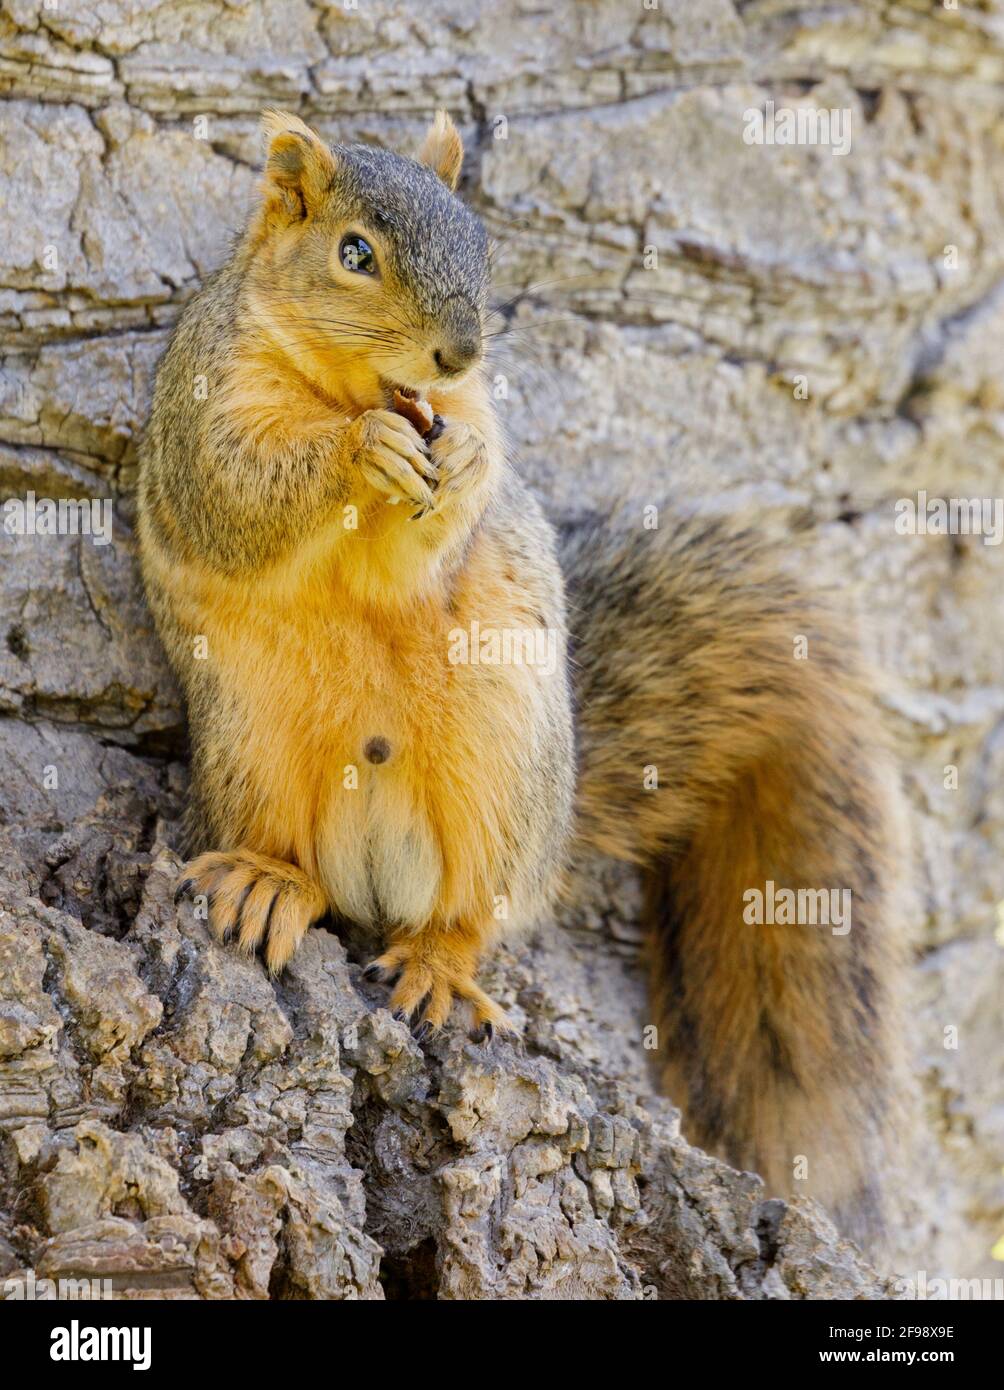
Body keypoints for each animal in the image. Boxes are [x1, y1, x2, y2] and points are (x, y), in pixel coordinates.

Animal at [138, 109, 908, 1235]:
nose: (458, 351)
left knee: (476, 909)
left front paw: (458, 463)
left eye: (481, 243)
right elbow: (242, 489)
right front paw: (358, 450)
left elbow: (435, 536)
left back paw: (437, 966)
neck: (346, 387)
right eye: (353, 253)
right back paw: (267, 882)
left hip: (500, 770)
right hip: (246, 739)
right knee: (302, 868)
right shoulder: (206, 410)